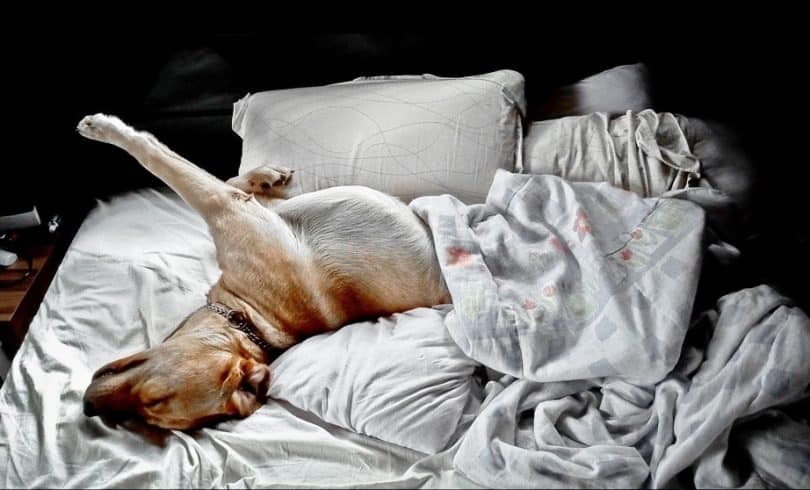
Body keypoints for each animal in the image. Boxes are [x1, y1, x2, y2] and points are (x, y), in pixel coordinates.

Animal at [77, 113, 448, 430]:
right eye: (151, 419)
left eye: (153, 403)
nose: (87, 408)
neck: (250, 317)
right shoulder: (254, 206)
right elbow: (234, 180)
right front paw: (266, 176)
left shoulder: (224, 205)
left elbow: (156, 155)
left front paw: (103, 127)